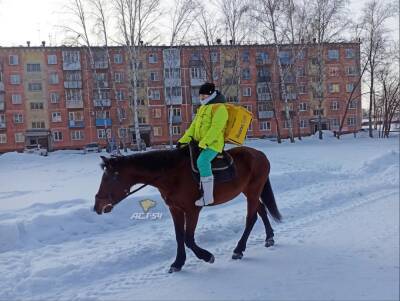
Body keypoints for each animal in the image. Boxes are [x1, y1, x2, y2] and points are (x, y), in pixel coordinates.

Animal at [94, 144, 282, 274]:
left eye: (109, 178)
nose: (97, 206)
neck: (171, 174)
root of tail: (260, 154)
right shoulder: (175, 209)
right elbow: (179, 237)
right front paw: (178, 263)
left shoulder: (192, 210)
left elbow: (188, 238)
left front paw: (207, 256)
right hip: (249, 191)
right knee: (261, 210)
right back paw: (269, 238)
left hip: (253, 190)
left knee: (251, 218)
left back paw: (239, 250)